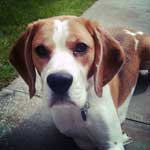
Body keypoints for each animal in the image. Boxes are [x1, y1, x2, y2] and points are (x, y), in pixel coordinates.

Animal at [8, 15, 150, 149]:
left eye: (81, 47)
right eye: (40, 50)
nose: (59, 81)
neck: (77, 110)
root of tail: (133, 31)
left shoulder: (112, 143)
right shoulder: (79, 140)